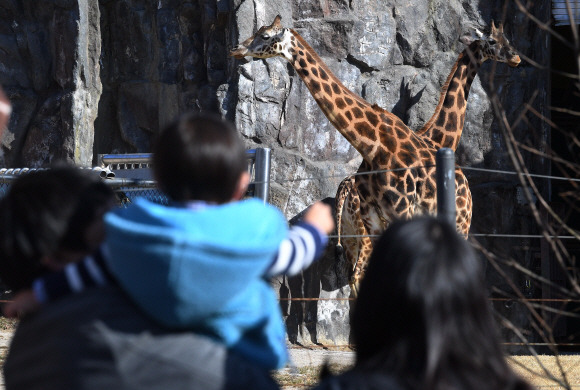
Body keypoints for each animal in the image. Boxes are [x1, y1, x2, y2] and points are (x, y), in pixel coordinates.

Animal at [330, 19, 520, 290]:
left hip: (350, 237)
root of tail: (345, 192)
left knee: (350, 277)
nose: (516, 57)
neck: (439, 139)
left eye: (508, 39)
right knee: (359, 275)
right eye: (492, 41)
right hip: (368, 232)